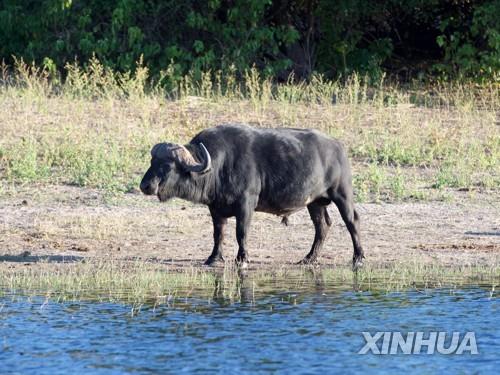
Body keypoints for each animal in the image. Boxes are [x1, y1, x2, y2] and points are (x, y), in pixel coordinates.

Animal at [141, 125, 364, 268]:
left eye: (167, 165)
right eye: (152, 161)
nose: (145, 186)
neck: (219, 165)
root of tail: (338, 147)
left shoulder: (246, 204)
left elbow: (241, 232)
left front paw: (242, 258)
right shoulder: (215, 209)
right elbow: (218, 234)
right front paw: (213, 258)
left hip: (342, 194)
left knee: (352, 221)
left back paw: (358, 257)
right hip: (315, 202)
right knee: (322, 226)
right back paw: (309, 258)